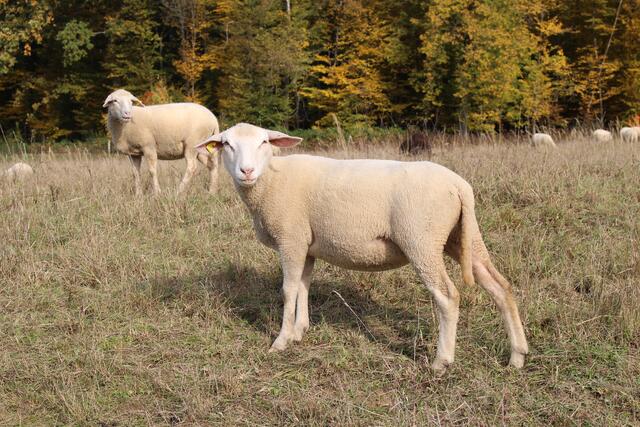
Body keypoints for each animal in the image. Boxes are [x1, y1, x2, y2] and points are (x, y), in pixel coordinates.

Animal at [196, 123, 529, 371]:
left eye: (264, 142)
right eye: (226, 144)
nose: (247, 171)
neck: (269, 181)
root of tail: (460, 187)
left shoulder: (291, 239)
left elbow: (288, 290)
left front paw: (281, 341)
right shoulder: (307, 244)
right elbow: (304, 286)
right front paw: (301, 330)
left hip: (422, 240)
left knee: (448, 296)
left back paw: (441, 361)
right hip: (462, 238)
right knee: (500, 287)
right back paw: (517, 356)